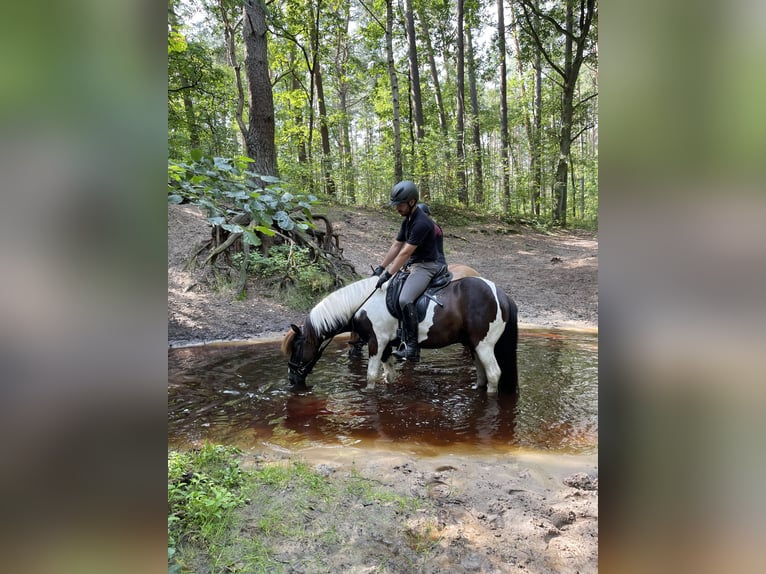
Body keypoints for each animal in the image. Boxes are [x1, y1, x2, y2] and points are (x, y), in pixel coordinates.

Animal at [280, 274, 520, 396]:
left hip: (484, 344)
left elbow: (371, 375)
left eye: (297, 347)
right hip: (474, 344)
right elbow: (389, 376)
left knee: (494, 374)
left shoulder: (376, 342)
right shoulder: (386, 345)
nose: (292, 378)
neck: (362, 304)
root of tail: (502, 295)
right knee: (482, 373)